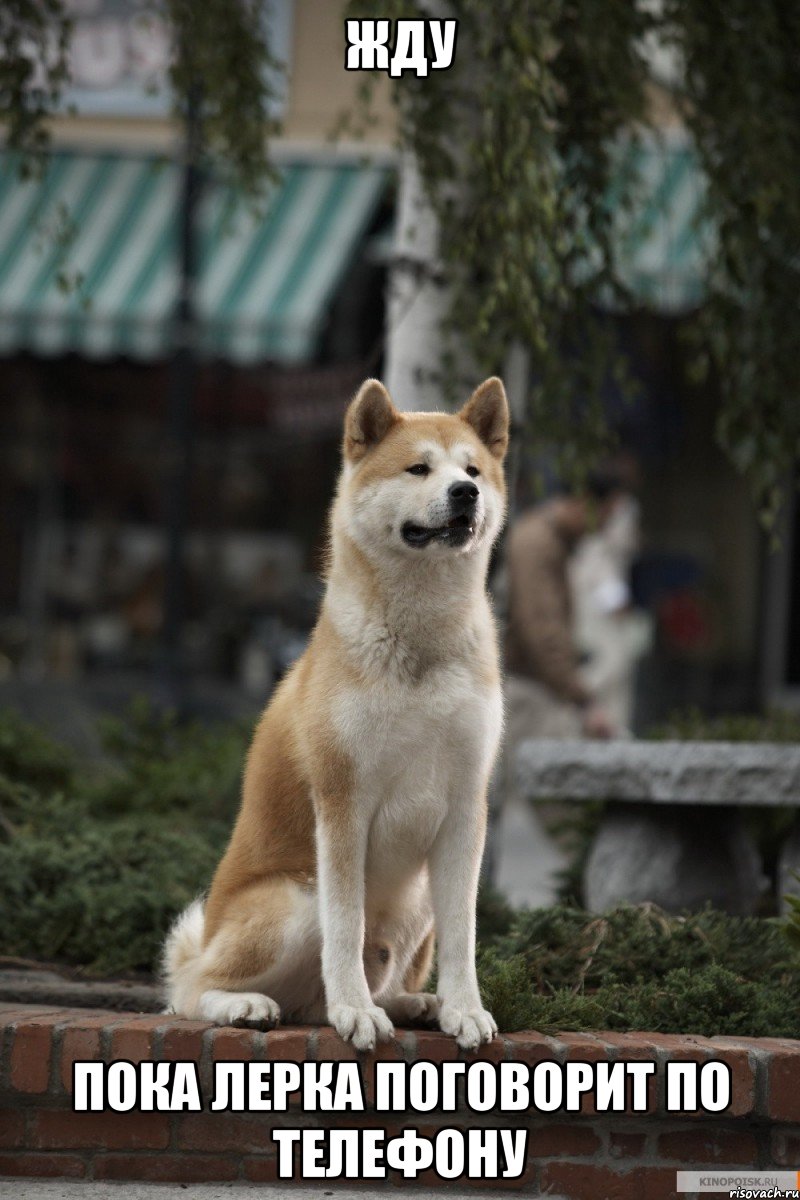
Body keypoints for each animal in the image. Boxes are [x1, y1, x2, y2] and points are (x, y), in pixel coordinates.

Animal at [164, 376, 506, 1051]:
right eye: (419, 468)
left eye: (473, 469)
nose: (466, 493)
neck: (420, 645)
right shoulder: (344, 801)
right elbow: (345, 928)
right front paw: (355, 1011)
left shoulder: (465, 806)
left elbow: (465, 934)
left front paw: (464, 1009)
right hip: (296, 900)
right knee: (189, 990)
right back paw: (251, 1004)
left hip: (416, 900)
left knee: (360, 985)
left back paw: (412, 1003)